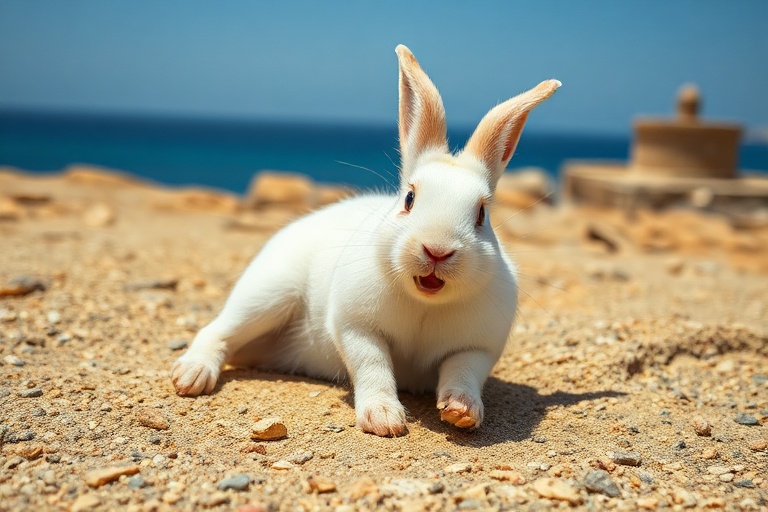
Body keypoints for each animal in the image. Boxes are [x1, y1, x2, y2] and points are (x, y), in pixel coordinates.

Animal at [171, 44, 560, 437]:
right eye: (409, 199)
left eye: (481, 214)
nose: (436, 250)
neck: (424, 302)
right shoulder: (356, 329)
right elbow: (373, 368)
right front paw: (384, 419)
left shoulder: (476, 348)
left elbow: (463, 373)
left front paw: (462, 412)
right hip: (266, 295)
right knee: (216, 331)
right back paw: (191, 376)